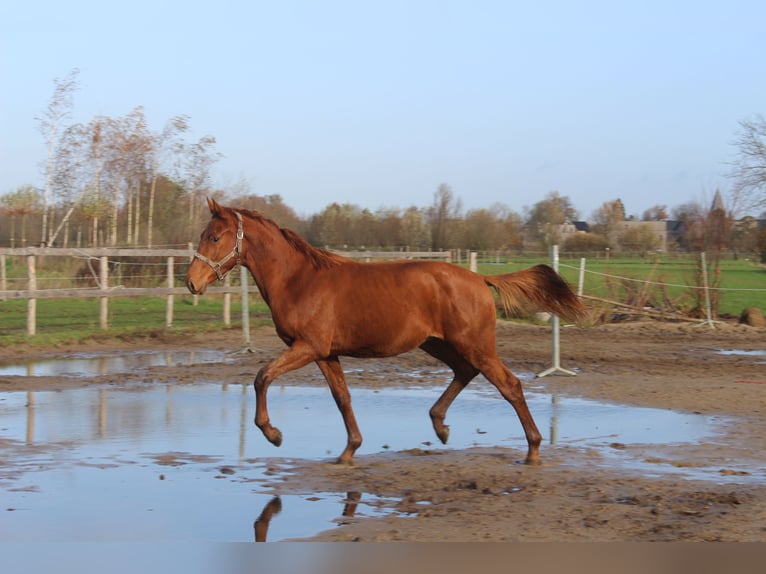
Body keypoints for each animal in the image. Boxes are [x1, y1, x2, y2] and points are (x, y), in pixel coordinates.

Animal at [189, 200, 584, 466]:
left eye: (215, 237)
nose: (191, 283)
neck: (299, 280)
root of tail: (478, 278)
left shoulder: (307, 347)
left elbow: (261, 377)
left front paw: (273, 434)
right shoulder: (326, 353)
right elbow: (342, 398)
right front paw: (349, 450)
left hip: (475, 345)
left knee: (509, 385)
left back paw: (533, 449)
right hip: (438, 344)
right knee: (465, 372)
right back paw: (440, 426)